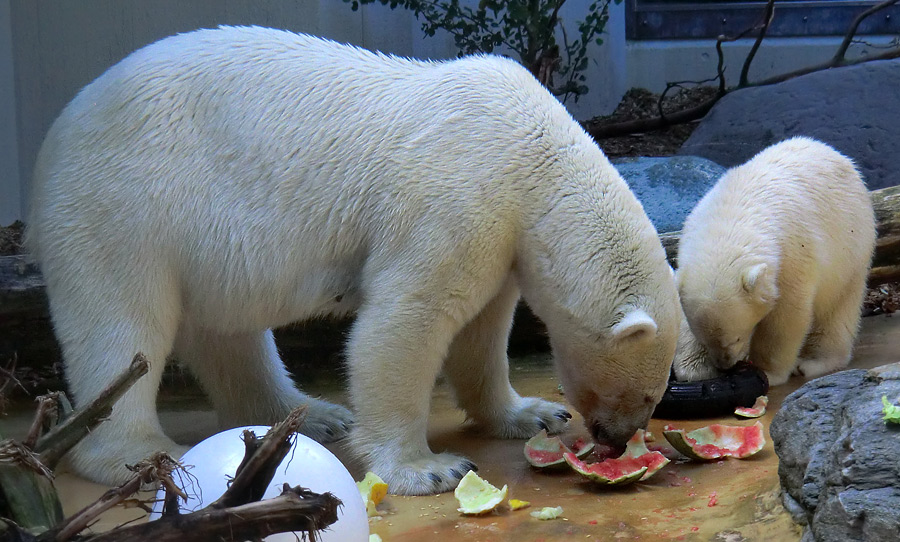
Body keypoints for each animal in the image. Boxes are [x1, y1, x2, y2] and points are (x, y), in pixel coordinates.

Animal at [26, 26, 676, 498]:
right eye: (644, 396)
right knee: (121, 327)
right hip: (124, 204)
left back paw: (309, 417)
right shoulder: (455, 199)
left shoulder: (500, 235)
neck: (535, 158)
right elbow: (405, 322)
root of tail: (57, 132)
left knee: (228, 335)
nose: (618, 440)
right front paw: (429, 468)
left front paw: (534, 414)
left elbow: (482, 330)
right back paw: (141, 454)